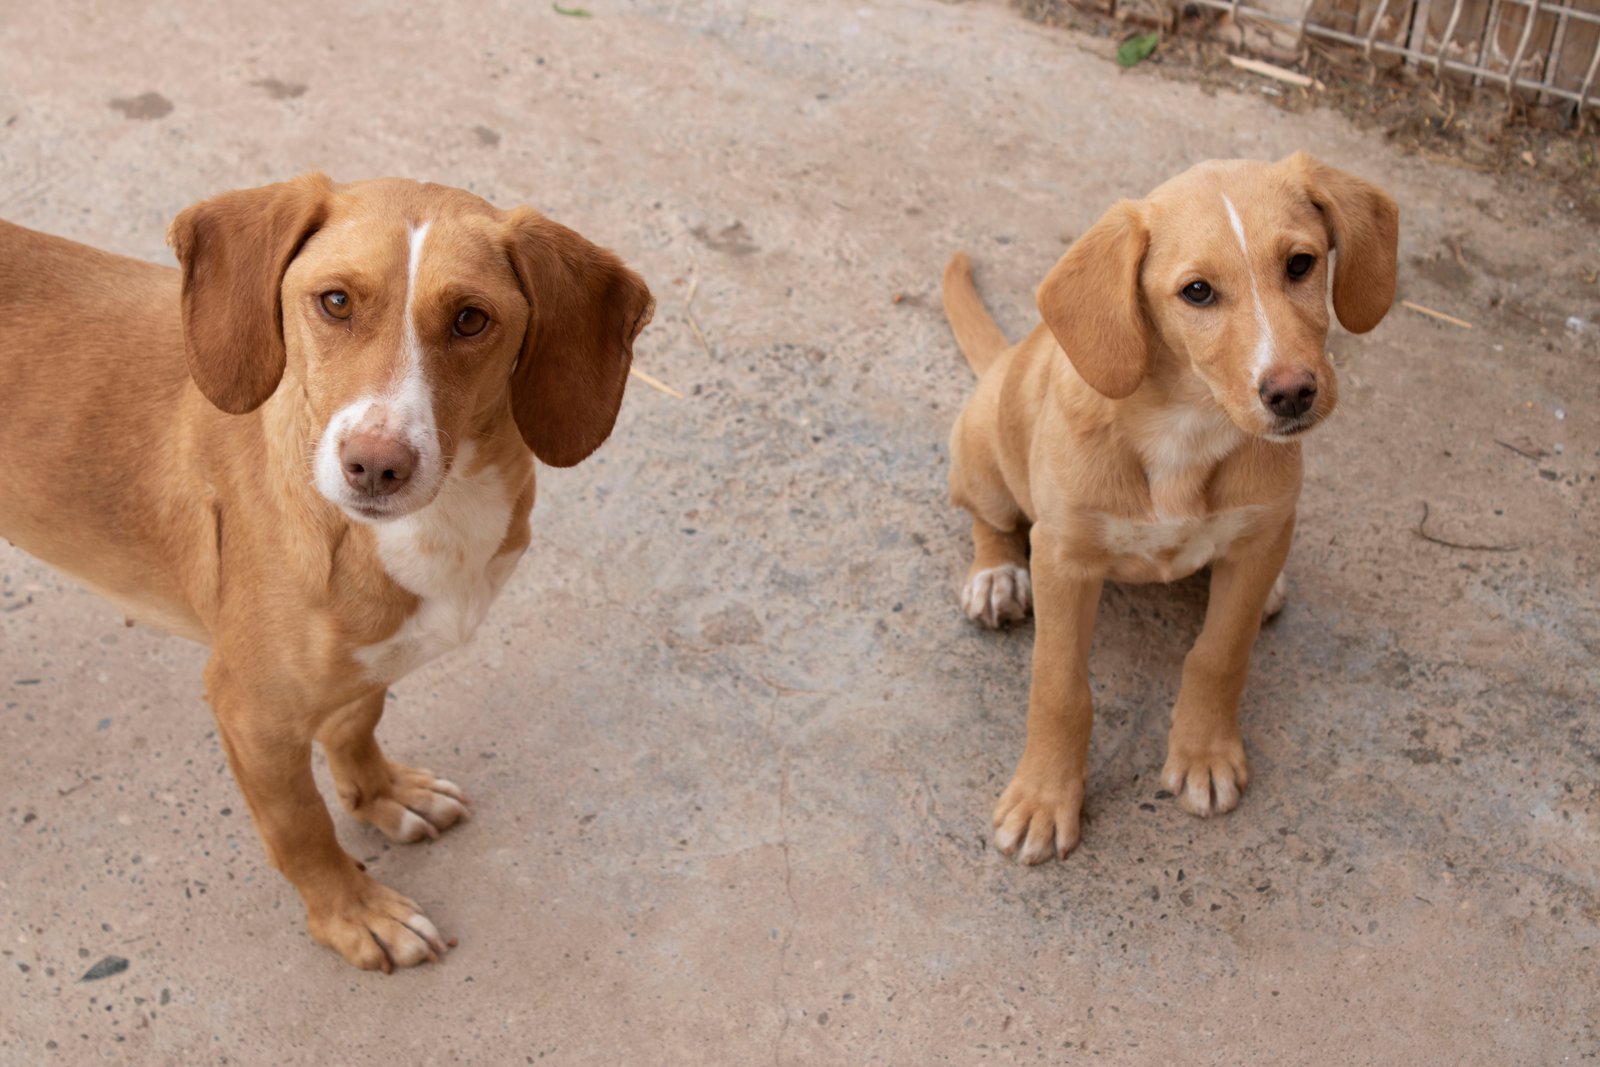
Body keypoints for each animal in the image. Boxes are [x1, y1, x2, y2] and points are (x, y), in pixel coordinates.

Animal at [0, 179, 652, 972]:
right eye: (335, 301)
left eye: (471, 319)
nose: (375, 465)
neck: (425, 527)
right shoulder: (250, 713)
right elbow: (302, 827)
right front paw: (355, 913)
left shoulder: (366, 665)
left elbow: (357, 719)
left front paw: (381, 795)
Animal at [940, 150, 1395, 863]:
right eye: (1198, 292)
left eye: (1301, 264)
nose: (1292, 392)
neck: (1188, 423)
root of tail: (1005, 359)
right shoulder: (1064, 559)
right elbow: (1058, 688)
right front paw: (1044, 798)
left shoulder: (1262, 536)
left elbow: (1219, 652)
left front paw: (1204, 753)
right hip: (983, 449)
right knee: (991, 517)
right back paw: (995, 576)